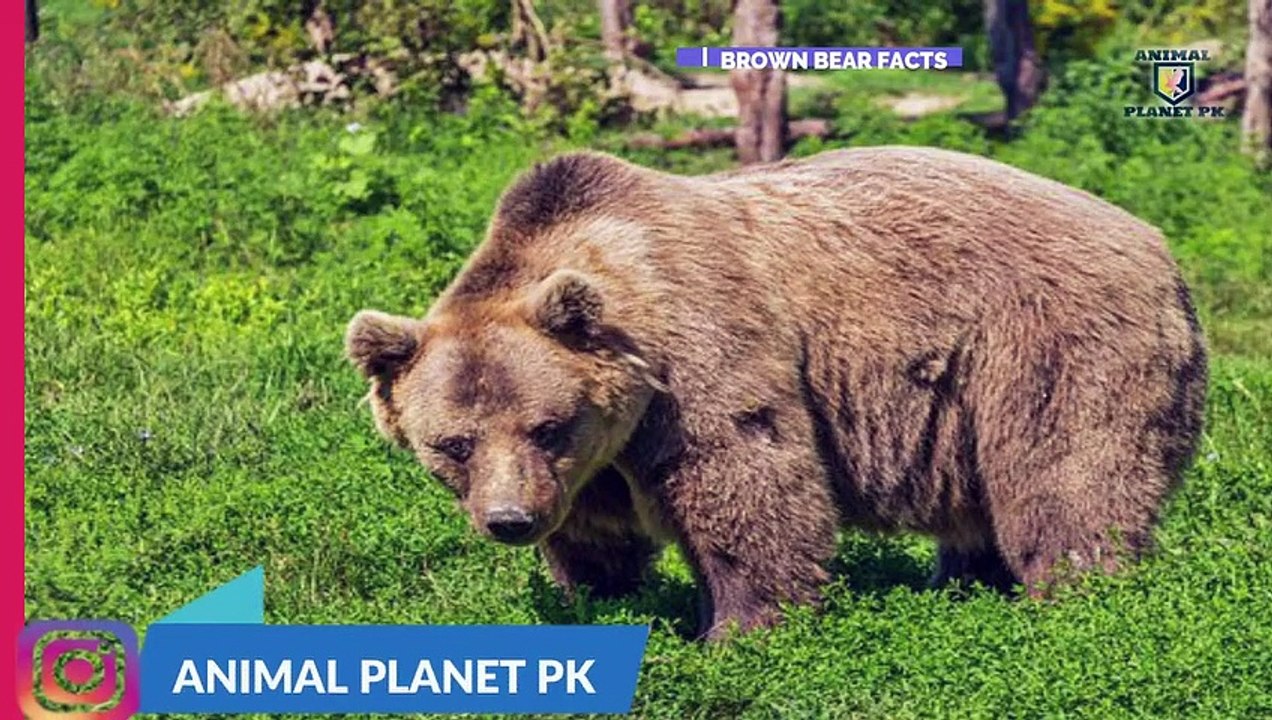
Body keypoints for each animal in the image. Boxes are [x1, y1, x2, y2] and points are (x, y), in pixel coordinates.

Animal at [345, 146, 1207, 640]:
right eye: (452, 444)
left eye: (548, 425)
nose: (509, 521)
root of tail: (1160, 246)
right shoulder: (595, 460)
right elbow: (594, 530)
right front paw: (598, 596)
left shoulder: (698, 353)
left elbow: (745, 478)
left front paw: (737, 629)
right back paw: (965, 581)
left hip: (1047, 343)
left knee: (1067, 474)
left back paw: (1076, 596)